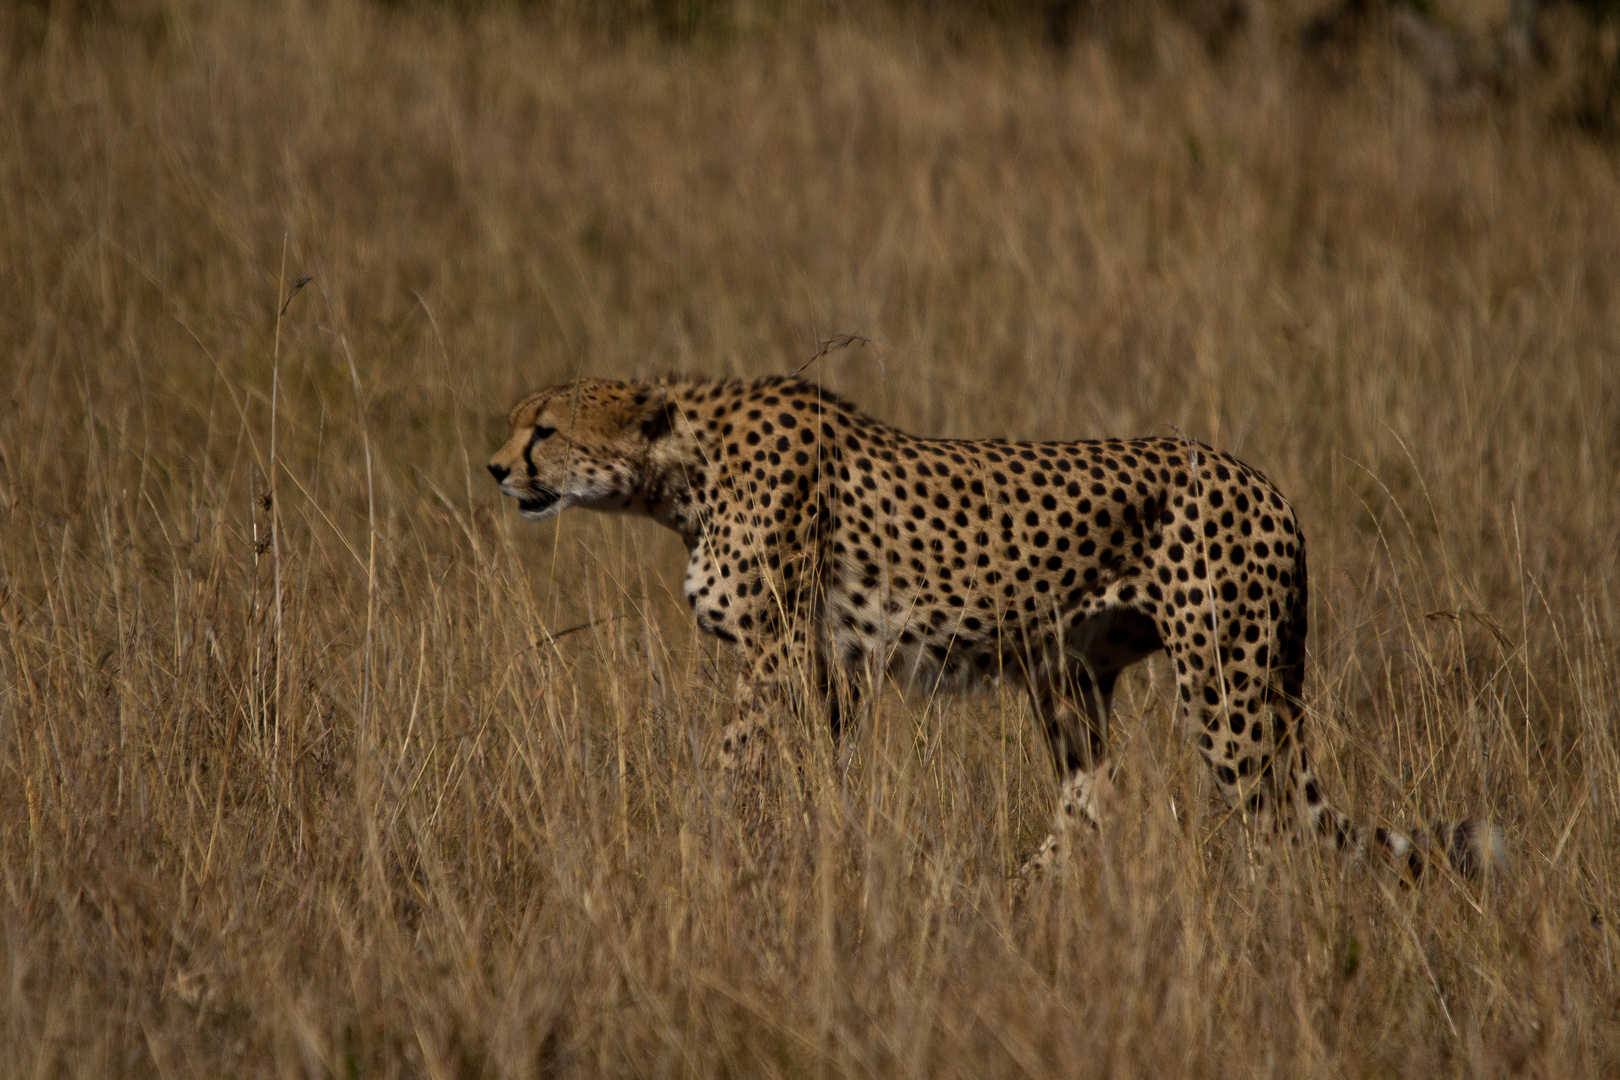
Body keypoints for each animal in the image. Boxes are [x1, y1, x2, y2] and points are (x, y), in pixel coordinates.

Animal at [486, 375, 1496, 880]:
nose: (495, 467)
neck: (681, 470)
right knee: (1100, 791)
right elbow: (807, 773)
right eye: (520, 423)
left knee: (1275, 818)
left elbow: (738, 766)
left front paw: (701, 847)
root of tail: (1265, 484)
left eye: (544, 430)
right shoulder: (829, 672)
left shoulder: (779, 657)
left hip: (1226, 689)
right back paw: (1019, 898)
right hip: (1070, 673)